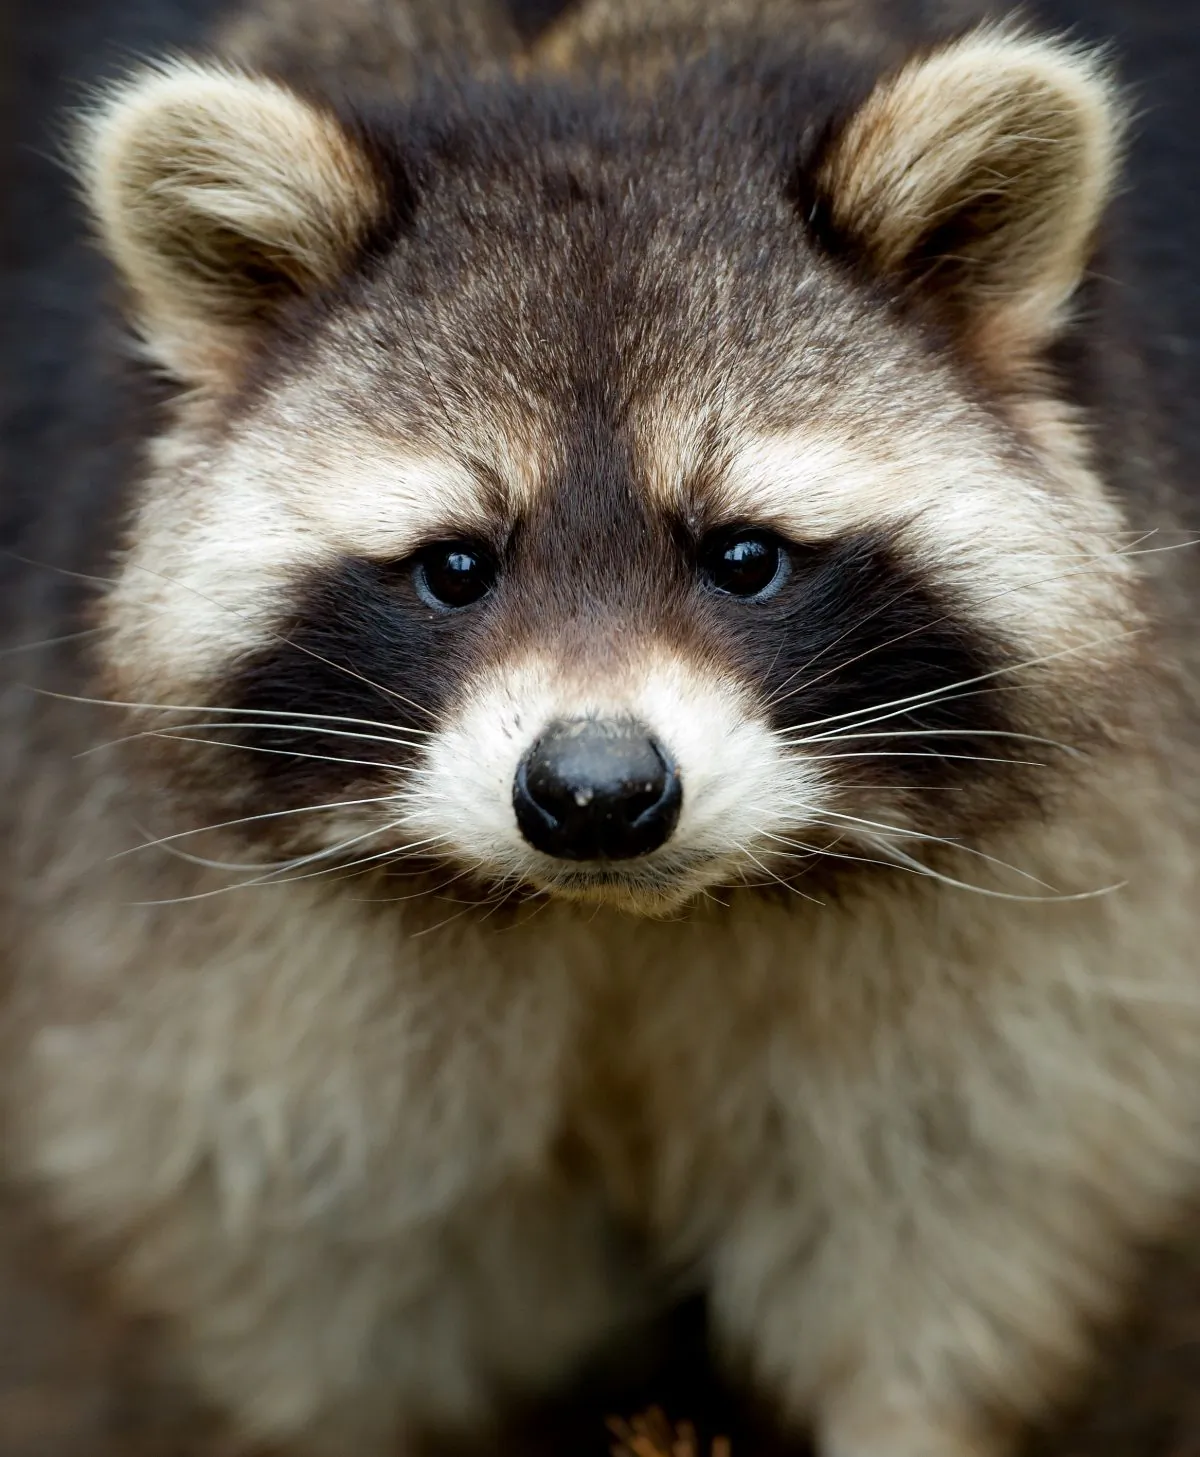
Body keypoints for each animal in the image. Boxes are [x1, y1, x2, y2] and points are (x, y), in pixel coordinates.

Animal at [3, 0, 1199, 1454]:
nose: (594, 793)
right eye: (456, 567)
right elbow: (311, 1272)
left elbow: (954, 1217)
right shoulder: (212, 984)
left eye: (745, 556)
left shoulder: (1048, 939)